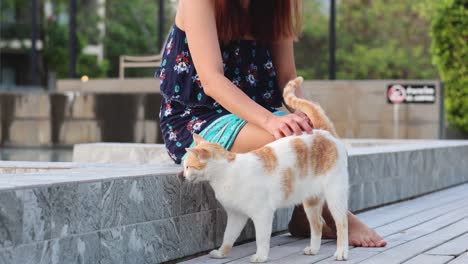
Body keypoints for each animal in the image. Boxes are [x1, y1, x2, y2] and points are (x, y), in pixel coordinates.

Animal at [182, 76, 348, 262]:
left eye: (188, 166)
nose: (183, 175)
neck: (226, 173)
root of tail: (322, 131)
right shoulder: (236, 216)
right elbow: (228, 237)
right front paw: (221, 253)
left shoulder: (263, 213)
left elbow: (261, 238)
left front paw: (260, 256)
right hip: (311, 200)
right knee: (317, 223)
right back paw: (313, 249)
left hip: (335, 194)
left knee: (342, 223)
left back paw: (341, 252)